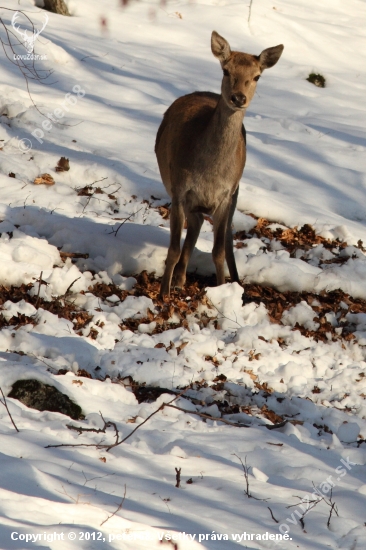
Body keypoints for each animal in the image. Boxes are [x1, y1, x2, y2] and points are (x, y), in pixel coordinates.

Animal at [154, 31, 284, 298]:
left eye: (257, 76)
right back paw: (179, 279)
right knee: (196, 224)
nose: (238, 98)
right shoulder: (180, 191)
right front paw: (163, 294)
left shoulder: (225, 195)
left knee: (220, 236)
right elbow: (173, 248)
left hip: (236, 192)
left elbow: (218, 251)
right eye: (226, 70)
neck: (209, 173)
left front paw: (223, 289)